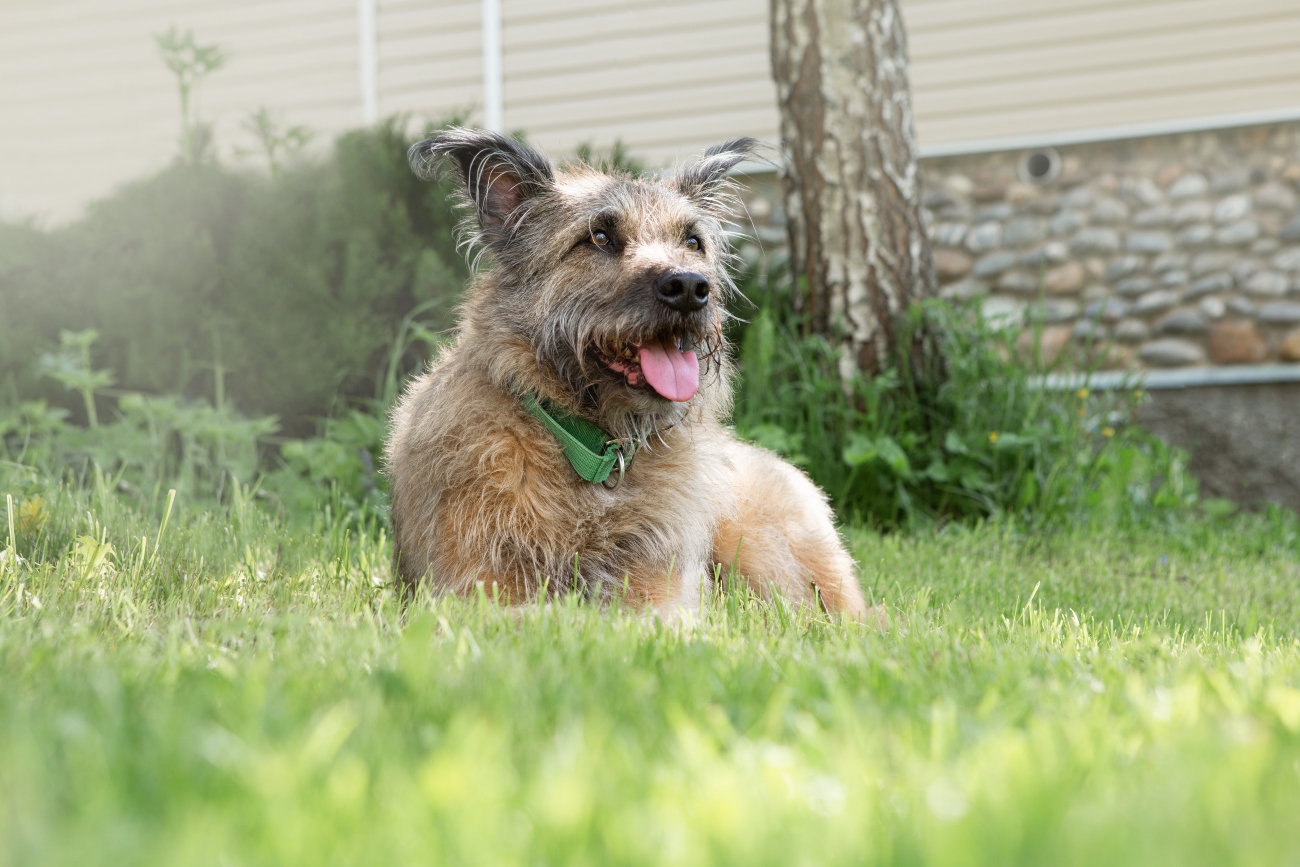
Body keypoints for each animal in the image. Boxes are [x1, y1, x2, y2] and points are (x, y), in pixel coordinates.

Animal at [387, 127, 873, 616]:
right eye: (599, 237)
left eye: (692, 242)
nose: (690, 288)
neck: (594, 452)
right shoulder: (477, 590)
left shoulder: (661, 591)